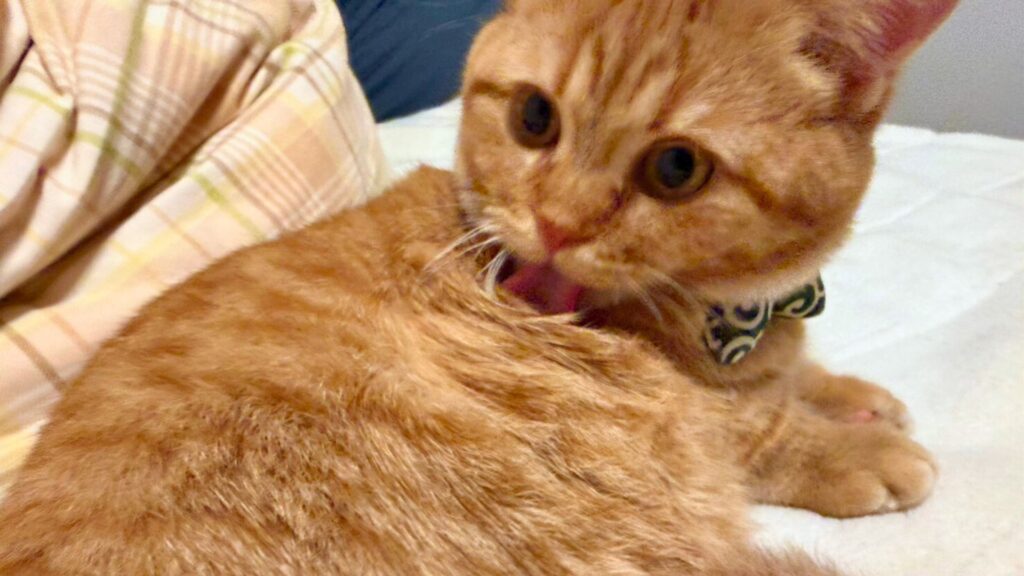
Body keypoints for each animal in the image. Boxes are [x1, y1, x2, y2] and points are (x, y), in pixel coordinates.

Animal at [0, 0, 957, 574]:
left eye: (677, 167)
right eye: (534, 117)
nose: (559, 226)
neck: (736, 311)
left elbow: (793, 376)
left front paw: (849, 390)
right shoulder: (698, 414)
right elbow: (759, 428)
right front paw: (858, 449)